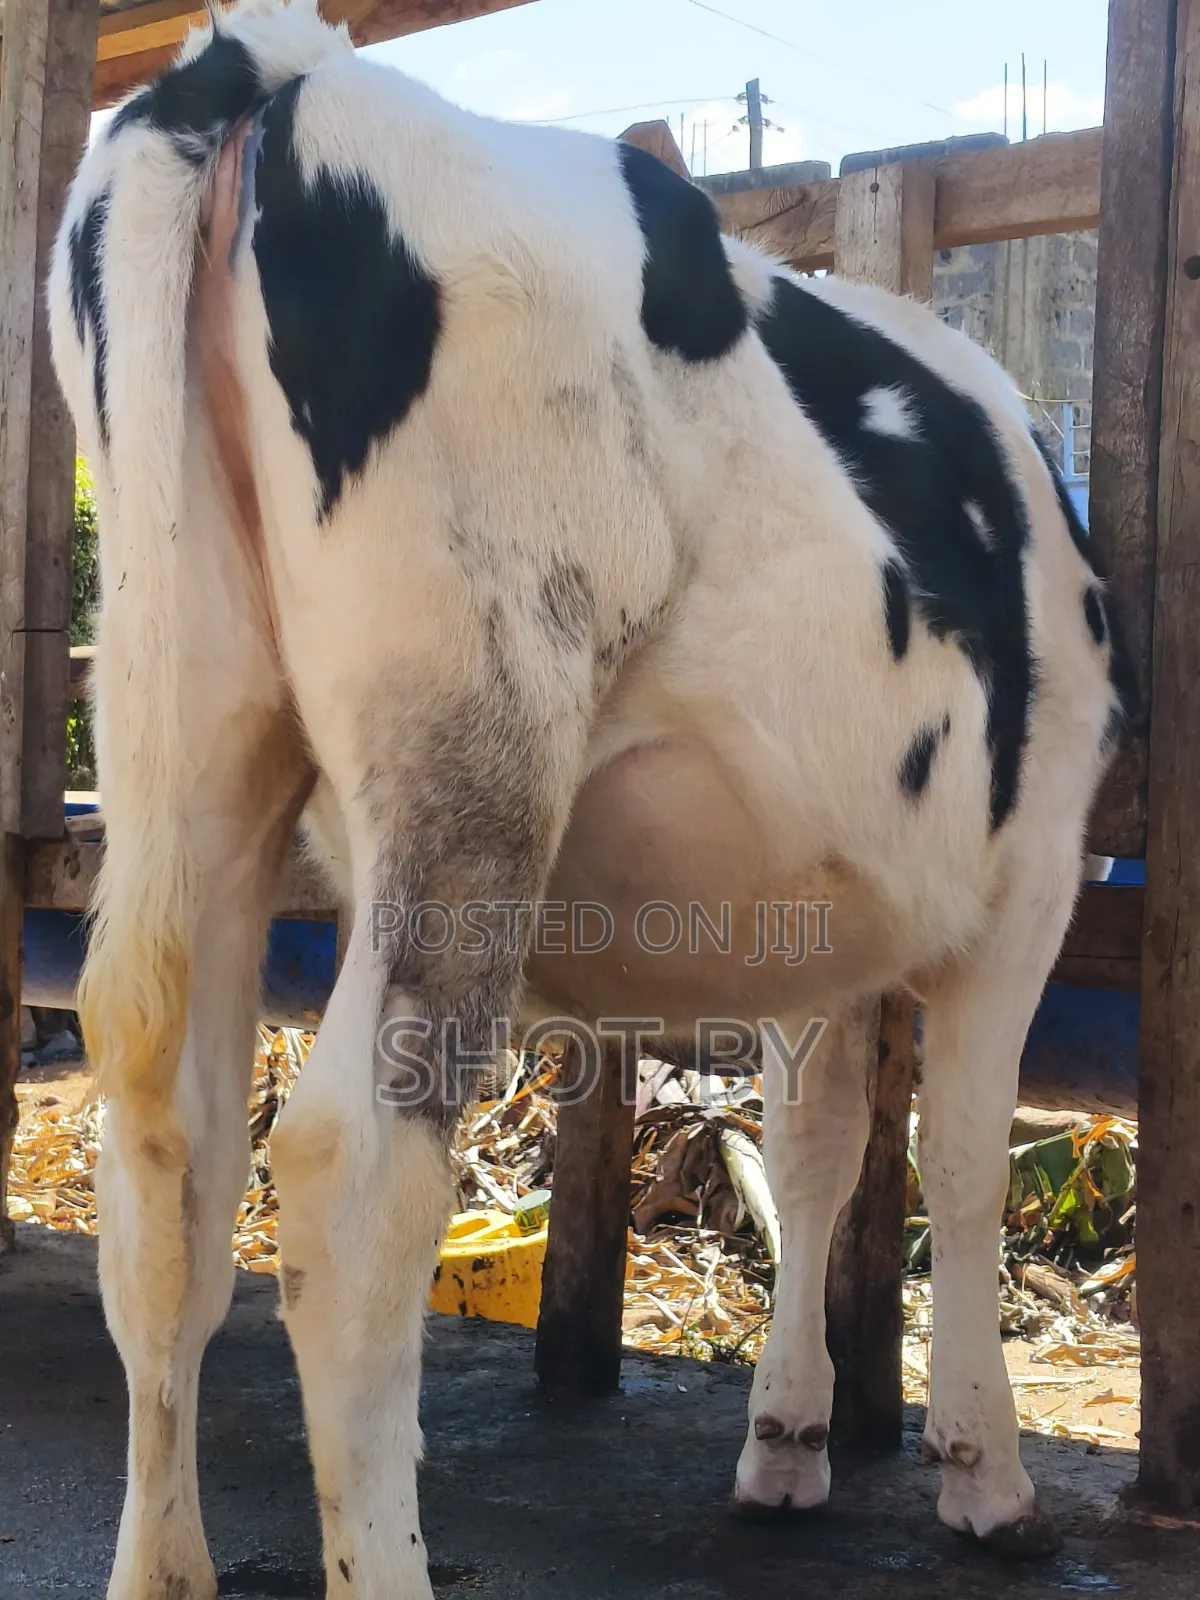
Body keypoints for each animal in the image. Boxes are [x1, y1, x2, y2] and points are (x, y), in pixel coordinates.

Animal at [48, 1, 1136, 1594]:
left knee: (164, 1168)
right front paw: (983, 1475)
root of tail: (277, 64)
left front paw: (787, 1442)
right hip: (471, 755)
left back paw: (162, 1564)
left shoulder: (821, 915)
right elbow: (965, 1164)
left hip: (191, 737)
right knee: (348, 1175)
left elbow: (813, 1151)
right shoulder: (1033, 872)